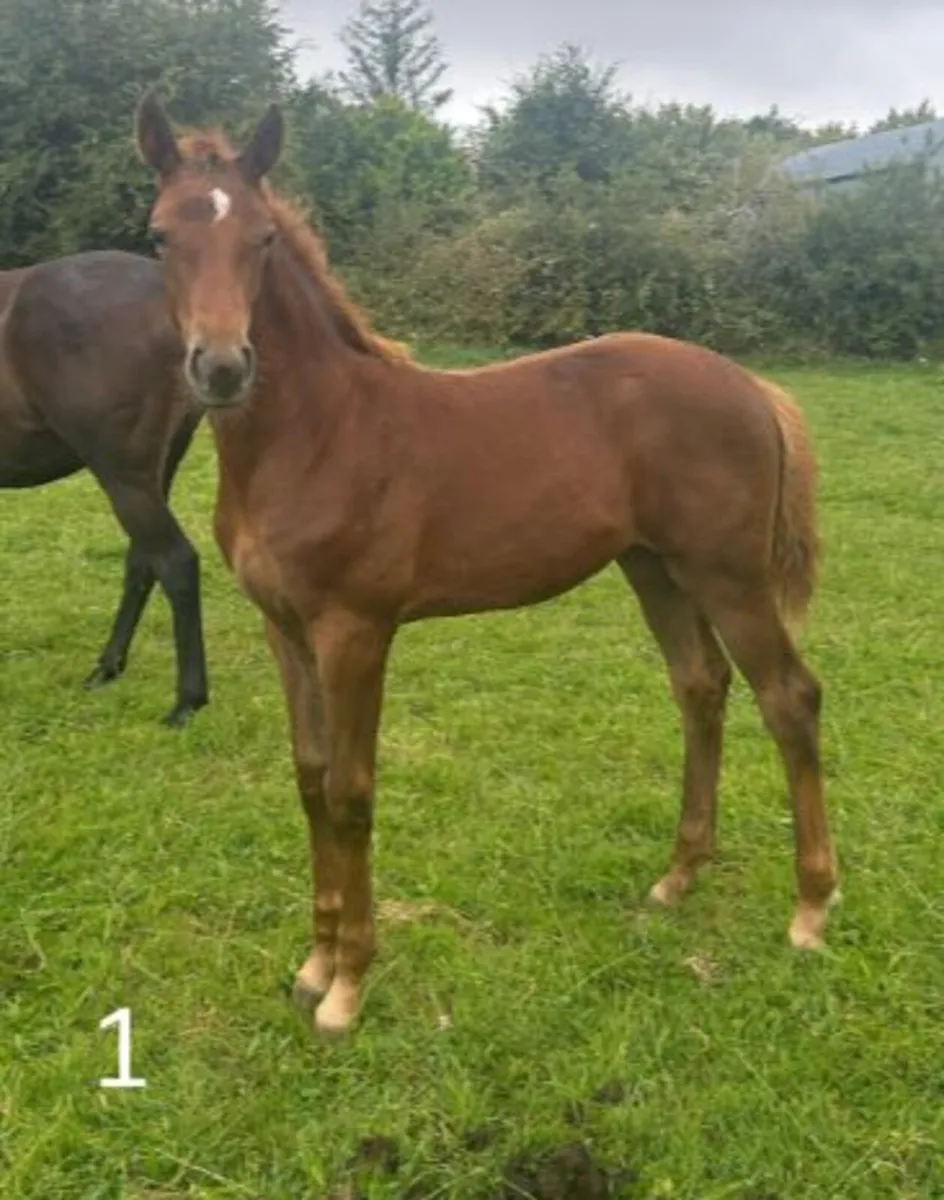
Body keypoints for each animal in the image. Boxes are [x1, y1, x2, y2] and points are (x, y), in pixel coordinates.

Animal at [0, 250, 208, 726]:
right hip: (156, 470)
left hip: (122, 473)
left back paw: (186, 702)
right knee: (143, 561)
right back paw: (107, 667)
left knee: (175, 561)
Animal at [135, 94, 839, 1035]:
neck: (316, 432)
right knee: (701, 687)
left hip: (728, 574)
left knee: (789, 697)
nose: (220, 367)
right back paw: (678, 876)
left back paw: (811, 908)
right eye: (159, 236)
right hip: (654, 568)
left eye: (264, 239)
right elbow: (311, 779)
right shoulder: (284, 628)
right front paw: (314, 965)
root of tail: (752, 387)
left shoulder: (356, 631)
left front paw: (349, 986)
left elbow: (352, 791)